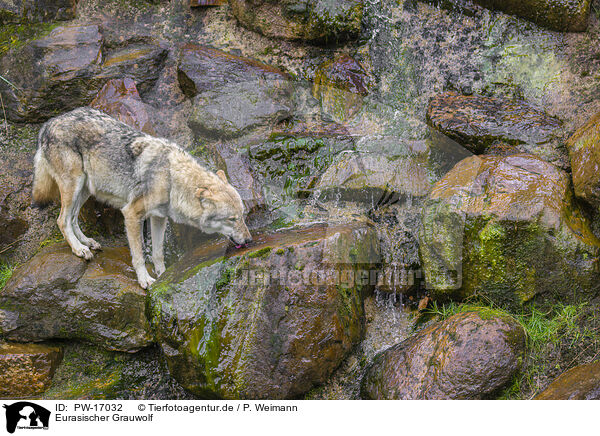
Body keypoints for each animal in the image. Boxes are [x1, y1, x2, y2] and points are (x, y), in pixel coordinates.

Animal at [31, 107, 252, 288]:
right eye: (232, 219)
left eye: (242, 215)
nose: (249, 240)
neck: (170, 177)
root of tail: (48, 123)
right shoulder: (131, 213)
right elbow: (138, 255)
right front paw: (145, 279)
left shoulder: (159, 217)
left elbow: (158, 253)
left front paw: (163, 275)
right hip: (74, 186)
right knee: (62, 220)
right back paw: (79, 249)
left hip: (85, 189)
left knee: (73, 218)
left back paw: (88, 242)